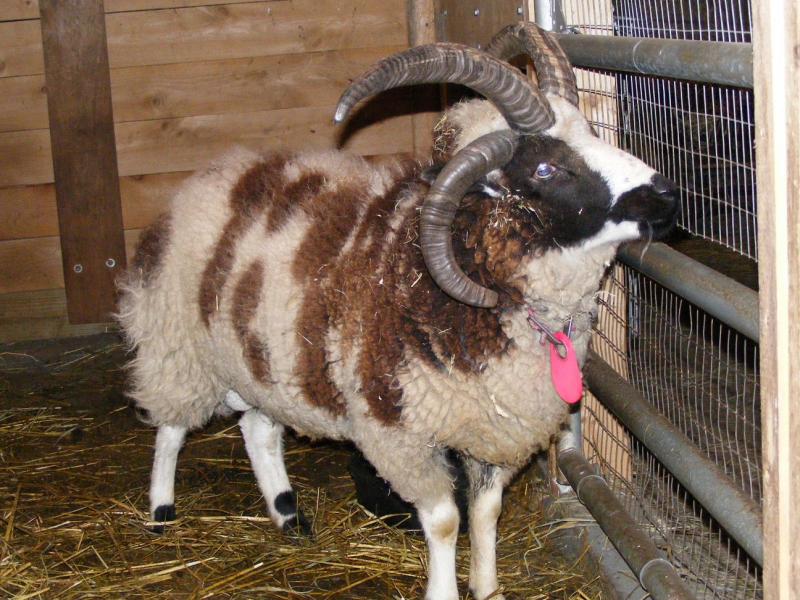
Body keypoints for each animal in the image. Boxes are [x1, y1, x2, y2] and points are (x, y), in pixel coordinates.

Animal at [117, 23, 678, 600]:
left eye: (590, 131)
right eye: (546, 167)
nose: (665, 194)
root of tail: (207, 177)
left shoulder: (491, 428)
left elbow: (486, 512)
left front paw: (487, 586)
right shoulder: (399, 431)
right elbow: (445, 521)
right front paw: (444, 590)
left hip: (263, 356)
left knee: (258, 429)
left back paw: (288, 515)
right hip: (178, 346)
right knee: (171, 427)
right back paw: (161, 511)